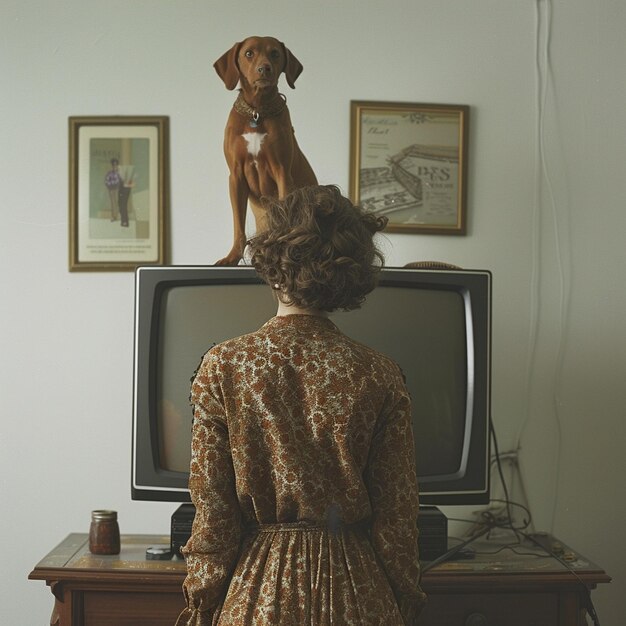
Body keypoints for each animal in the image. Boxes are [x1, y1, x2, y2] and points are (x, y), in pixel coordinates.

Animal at [213, 36, 314, 266]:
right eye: (249, 53)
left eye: (275, 53)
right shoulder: (236, 176)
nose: (264, 69)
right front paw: (232, 257)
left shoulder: (282, 172)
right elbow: (238, 225)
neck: (257, 112)